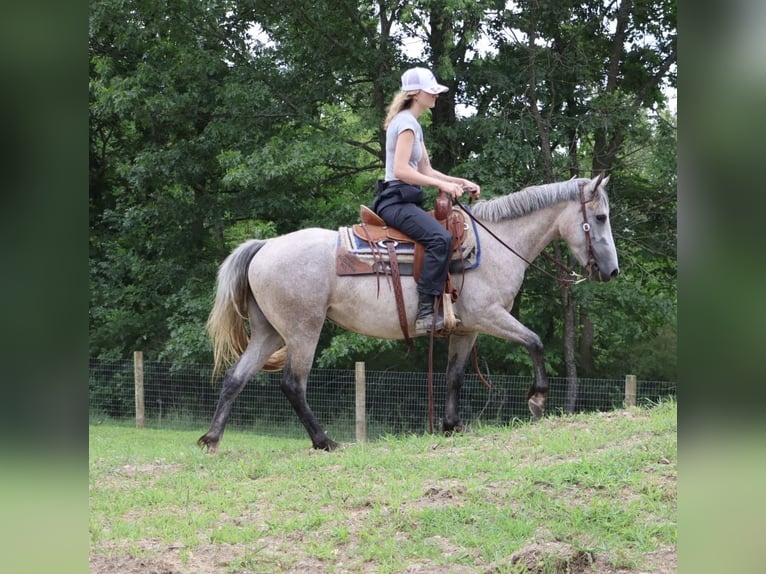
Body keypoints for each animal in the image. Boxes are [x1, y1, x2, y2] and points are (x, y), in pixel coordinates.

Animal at [198, 175, 619, 452]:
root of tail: (265, 245)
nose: (611, 271)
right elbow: (535, 341)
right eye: (600, 218)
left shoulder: (466, 329)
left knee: (235, 378)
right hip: (304, 330)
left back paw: (212, 438)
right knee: (292, 384)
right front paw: (537, 399)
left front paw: (451, 425)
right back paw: (324, 441)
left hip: (269, 332)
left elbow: (453, 377)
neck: (496, 246)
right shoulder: (489, 316)